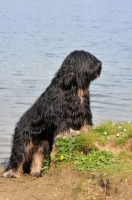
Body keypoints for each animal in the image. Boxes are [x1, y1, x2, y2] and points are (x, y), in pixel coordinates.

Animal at [2, 50, 102, 178]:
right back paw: (11, 173)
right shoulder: (58, 112)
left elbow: (86, 120)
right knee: (17, 157)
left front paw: (89, 129)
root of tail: (18, 124)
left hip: (42, 144)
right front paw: (70, 133)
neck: (73, 86)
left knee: (38, 157)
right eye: (88, 59)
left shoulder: (84, 109)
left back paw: (36, 172)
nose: (100, 64)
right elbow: (64, 124)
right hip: (23, 141)